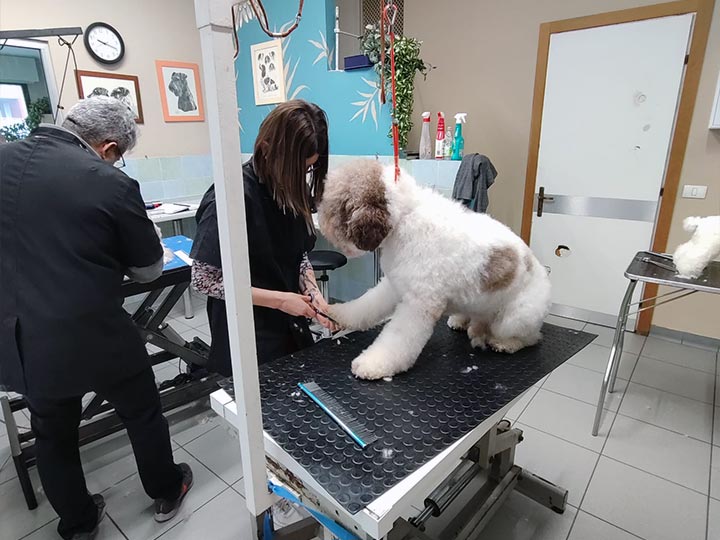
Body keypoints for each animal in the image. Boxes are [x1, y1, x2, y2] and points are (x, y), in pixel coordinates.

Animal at [320, 159, 552, 380]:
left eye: (334, 206)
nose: (320, 224)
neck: (405, 215)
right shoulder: (394, 285)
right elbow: (365, 305)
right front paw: (338, 312)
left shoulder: (419, 303)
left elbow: (398, 338)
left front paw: (373, 364)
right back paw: (462, 321)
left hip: (514, 318)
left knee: (531, 337)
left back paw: (504, 343)